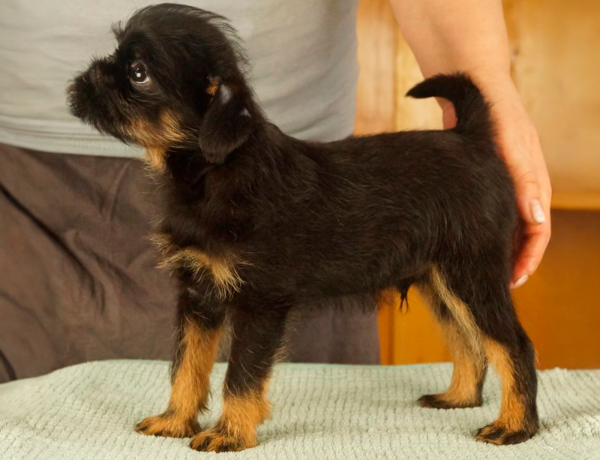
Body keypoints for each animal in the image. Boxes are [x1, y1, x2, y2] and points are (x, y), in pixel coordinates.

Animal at [67, 3, 539, 452]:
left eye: (138, 73)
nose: (87, 75)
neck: (216, 170)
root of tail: (473, 138)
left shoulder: (260, 302)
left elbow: (240, 374)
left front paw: (230, 433)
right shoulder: (199, 296)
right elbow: (187, 365)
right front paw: (176, 420)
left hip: (470, 274)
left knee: (512, 344)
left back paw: (515, 426)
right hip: (438, 280)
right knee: (469, 342)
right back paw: (458, 398)